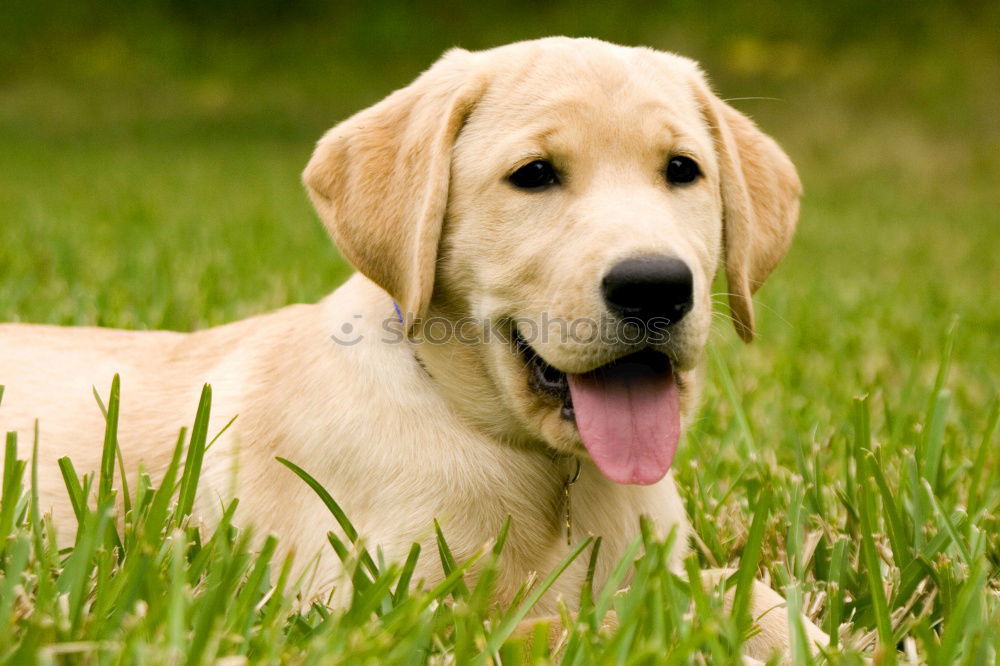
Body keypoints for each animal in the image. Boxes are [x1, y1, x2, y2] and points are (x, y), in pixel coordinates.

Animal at [0, 39, 824, 660]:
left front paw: (805, 634)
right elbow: (561, 623)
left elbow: (733, 588)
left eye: (683, 170)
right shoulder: (367, 612)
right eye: (534, 175)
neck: (546, 472)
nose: (656, 286)